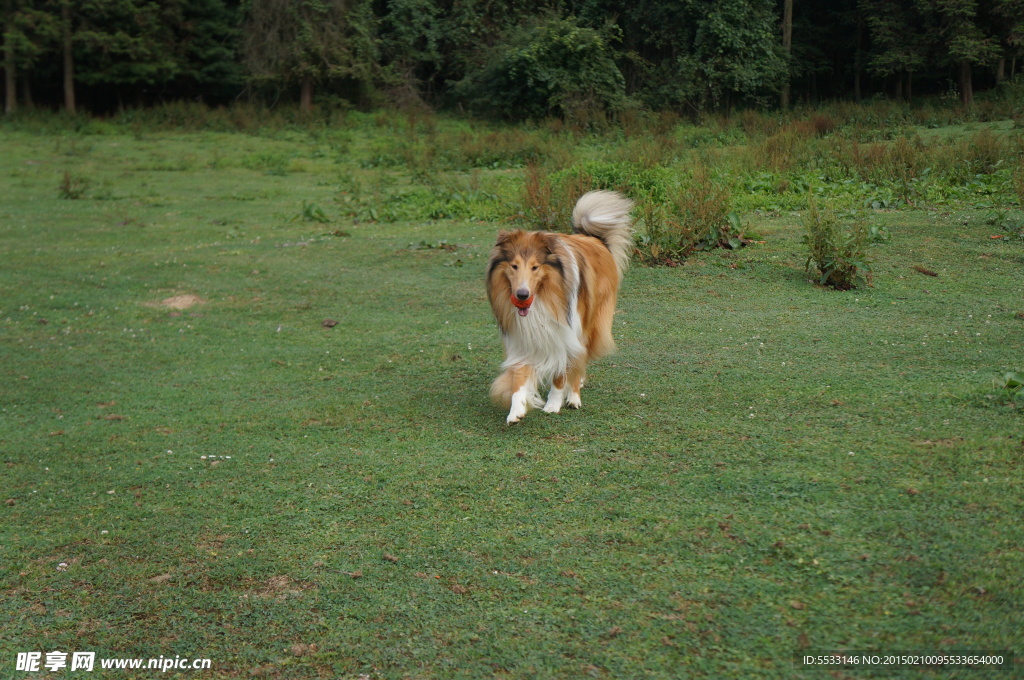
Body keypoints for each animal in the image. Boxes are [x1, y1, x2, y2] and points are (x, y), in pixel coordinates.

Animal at [485, 191, 630, 421]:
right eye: (514, 265)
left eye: (535, 267)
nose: (522, 295)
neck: (543, 296)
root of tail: (593, 239)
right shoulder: (521, 339)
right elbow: (519, 377)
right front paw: (516, 410)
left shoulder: (566, 334)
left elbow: (561, 374)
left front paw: (554, 403)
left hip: (588, 324)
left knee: (580, 358)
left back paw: (574, 396)